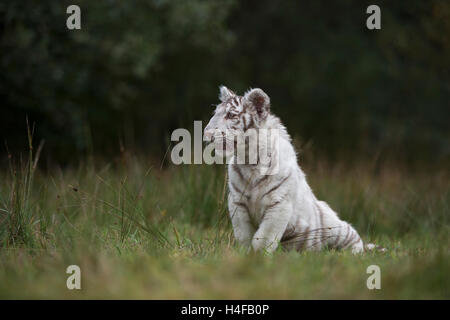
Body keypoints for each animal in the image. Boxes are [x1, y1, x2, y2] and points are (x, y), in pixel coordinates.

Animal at [204, 86, 384, 254]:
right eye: (215, 113)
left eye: (231, 115)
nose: (207, 134)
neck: (249, 160)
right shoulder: (237, 203)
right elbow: (244, 235)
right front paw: (245, 254)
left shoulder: (279, 204)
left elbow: (263, 238)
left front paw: (258, 256)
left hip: (337, 229)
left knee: (354, 237)